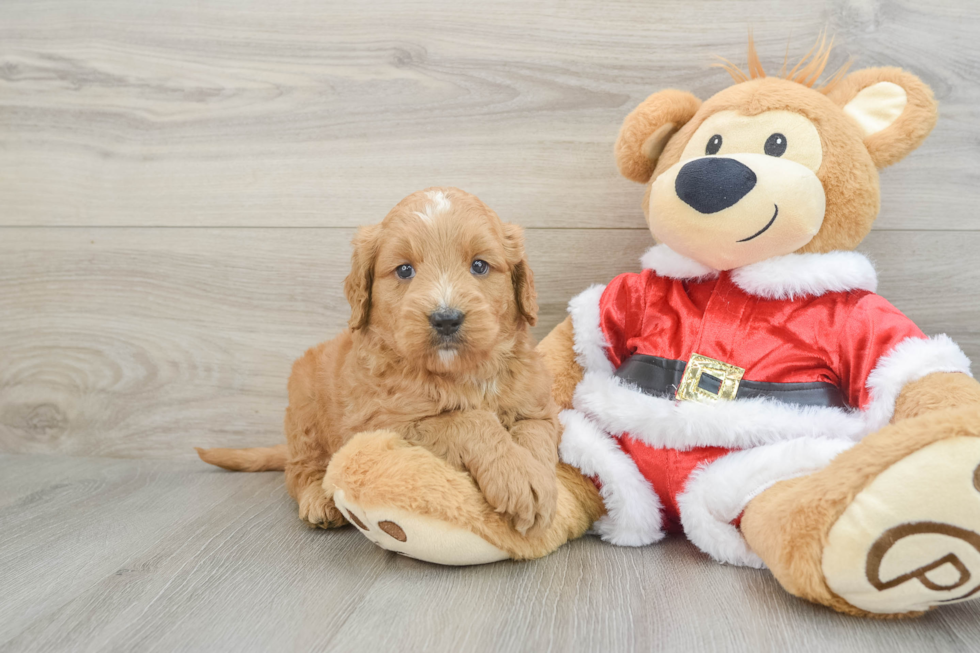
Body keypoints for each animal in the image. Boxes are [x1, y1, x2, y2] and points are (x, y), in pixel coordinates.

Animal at [199, 187, 560, 536]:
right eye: (404, 270)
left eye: (480, 266)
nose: (446, 319)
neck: (460, 372)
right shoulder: (384, 423)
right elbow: (466, 420)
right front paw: (518, 476)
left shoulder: (538, 407)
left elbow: (535, 434)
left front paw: (538, 477)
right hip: (305, 411)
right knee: (299, 469)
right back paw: (318, 499)